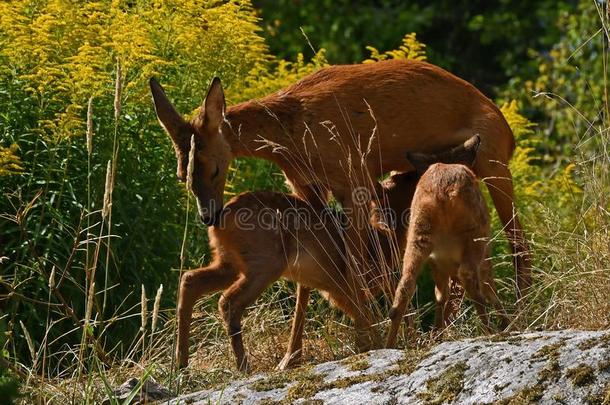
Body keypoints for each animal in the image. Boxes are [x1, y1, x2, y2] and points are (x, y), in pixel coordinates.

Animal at [150, 60, 528, 322]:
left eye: (214, 168)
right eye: (181, 174)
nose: (208, 215)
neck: (289, 136)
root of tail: (508, 130)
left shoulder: (354, 178)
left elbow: (355, 263)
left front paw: (371, 326)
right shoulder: (307, 189)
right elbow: (308, 278)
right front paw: (295, 355)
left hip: (494, 160)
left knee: (517, 243)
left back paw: (519, 309)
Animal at [172, 137, 480, 372]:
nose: (475, 142)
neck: (384, 230)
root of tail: (219, 219)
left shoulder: (338, 286)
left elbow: (365, 321)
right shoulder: (346, 285)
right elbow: (369, 320)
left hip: (229, 262)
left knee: (190, 280)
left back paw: (182, 366)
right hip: (264, 264)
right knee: (228, 302)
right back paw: (243, 367)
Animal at [384, 159, 508, 348]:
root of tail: (443, 192)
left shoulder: (436, 262)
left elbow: (441, 294)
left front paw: (436, 335)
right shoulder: (482, 257)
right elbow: (488, 285)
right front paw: (508, 324)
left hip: (418, 232)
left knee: (406, 285)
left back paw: (389, 345)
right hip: (474, 233)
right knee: (470, 276)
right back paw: (491, 331)